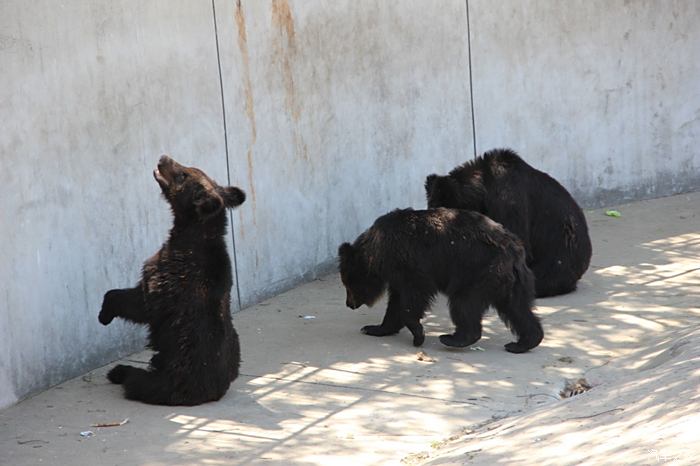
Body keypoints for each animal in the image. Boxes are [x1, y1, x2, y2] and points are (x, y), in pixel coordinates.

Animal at [98, 156, 246, 404]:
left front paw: (104, 314)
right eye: (189, 167)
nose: (163, 158)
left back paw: (119, 371)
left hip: (170, 378)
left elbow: (139, 303)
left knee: (138, 381)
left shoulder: (166, 278)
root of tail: (211, 392)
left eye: (183, 174)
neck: (193, 232)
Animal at [336, 208, 544, 354]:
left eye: (348, 284)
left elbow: (414, 295)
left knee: (464, 303)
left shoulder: (410, 262)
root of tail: (514, 250)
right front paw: (374, 328)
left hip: (478, 272)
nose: (349, 304)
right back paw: (523, 343)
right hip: (512, 281)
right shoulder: (397, 273)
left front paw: (418, 335)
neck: (378, 253)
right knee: (517, 308)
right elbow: (395, 302)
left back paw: (452, 338)